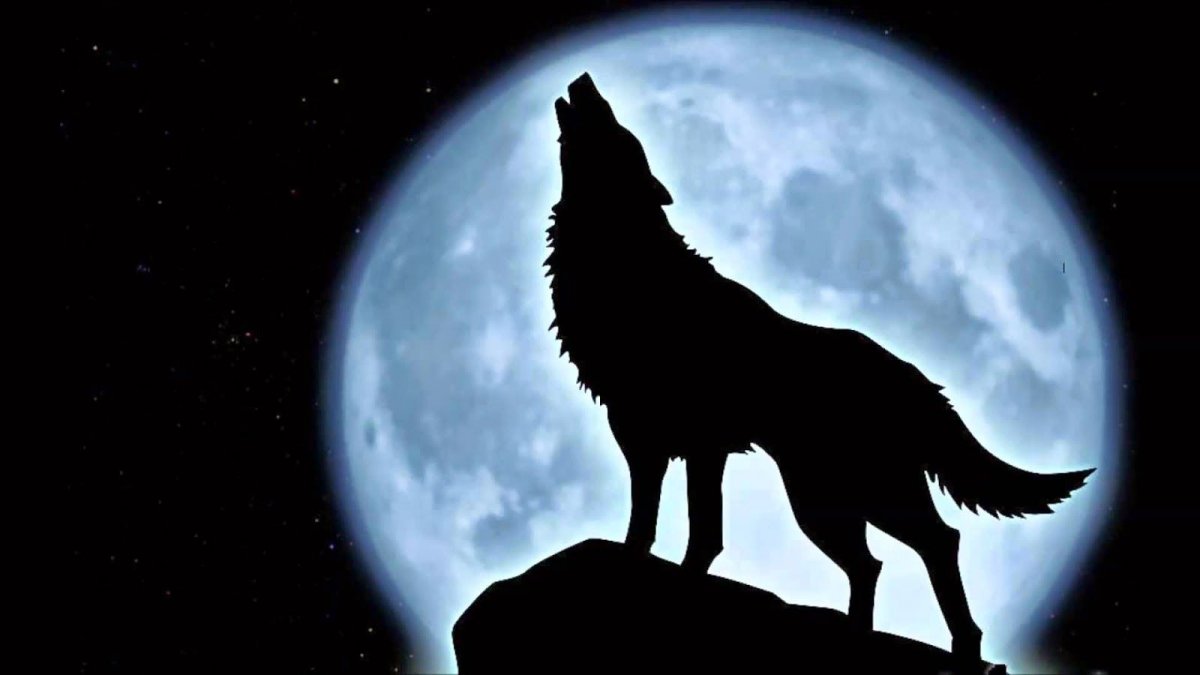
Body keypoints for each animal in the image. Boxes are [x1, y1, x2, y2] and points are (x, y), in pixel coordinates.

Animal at [544, 72, 1094, 666]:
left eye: (619, 132)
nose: (585, 80)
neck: (631, 265)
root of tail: (914, 377)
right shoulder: (650, 440)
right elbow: (655, 528)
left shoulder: (692, 444)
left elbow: (694, 531)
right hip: (830, 500)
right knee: (876, 562)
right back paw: (862, 636)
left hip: (850, 494)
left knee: (935, 543)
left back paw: (960, 649)